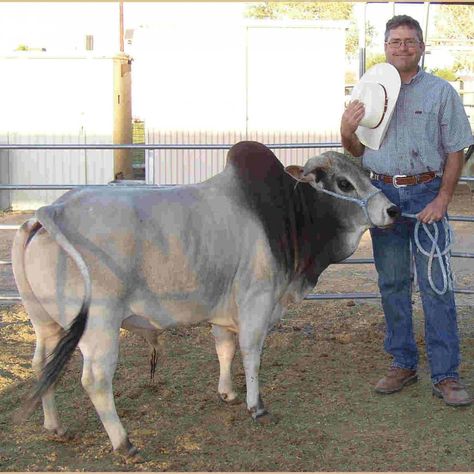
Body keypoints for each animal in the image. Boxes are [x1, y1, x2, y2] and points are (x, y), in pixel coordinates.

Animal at [12, 140, 398, 456]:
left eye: (366, 174)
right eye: (344, 183)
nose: (392, 211)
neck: (286, 213)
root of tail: (52, 211)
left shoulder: (224, 310)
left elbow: (224, 349)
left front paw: (227, 393)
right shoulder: (257, 301)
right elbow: (251, 355)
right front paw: (256, 406)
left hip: (45, 322)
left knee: (42, 365)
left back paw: (56, 426)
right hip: (99, 326)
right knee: (95, 380)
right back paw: (124, 442)